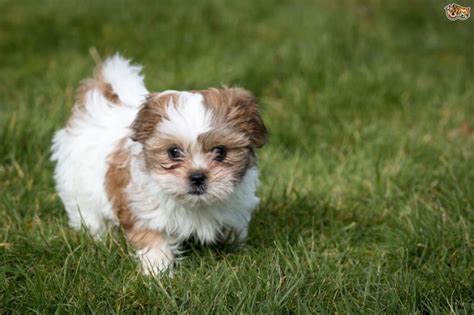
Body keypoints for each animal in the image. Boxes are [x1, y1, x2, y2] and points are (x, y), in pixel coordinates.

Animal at [52, 55, 266, 276]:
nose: (197, 176)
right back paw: (98, 238)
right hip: (78, 190)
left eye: (220, 152)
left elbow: (234, 229)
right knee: (88, 215)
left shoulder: (236, 208)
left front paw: (236, 250)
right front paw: (158, 272)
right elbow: (154, 239)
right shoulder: (143, 210)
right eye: (173, 152)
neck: (195, 205)